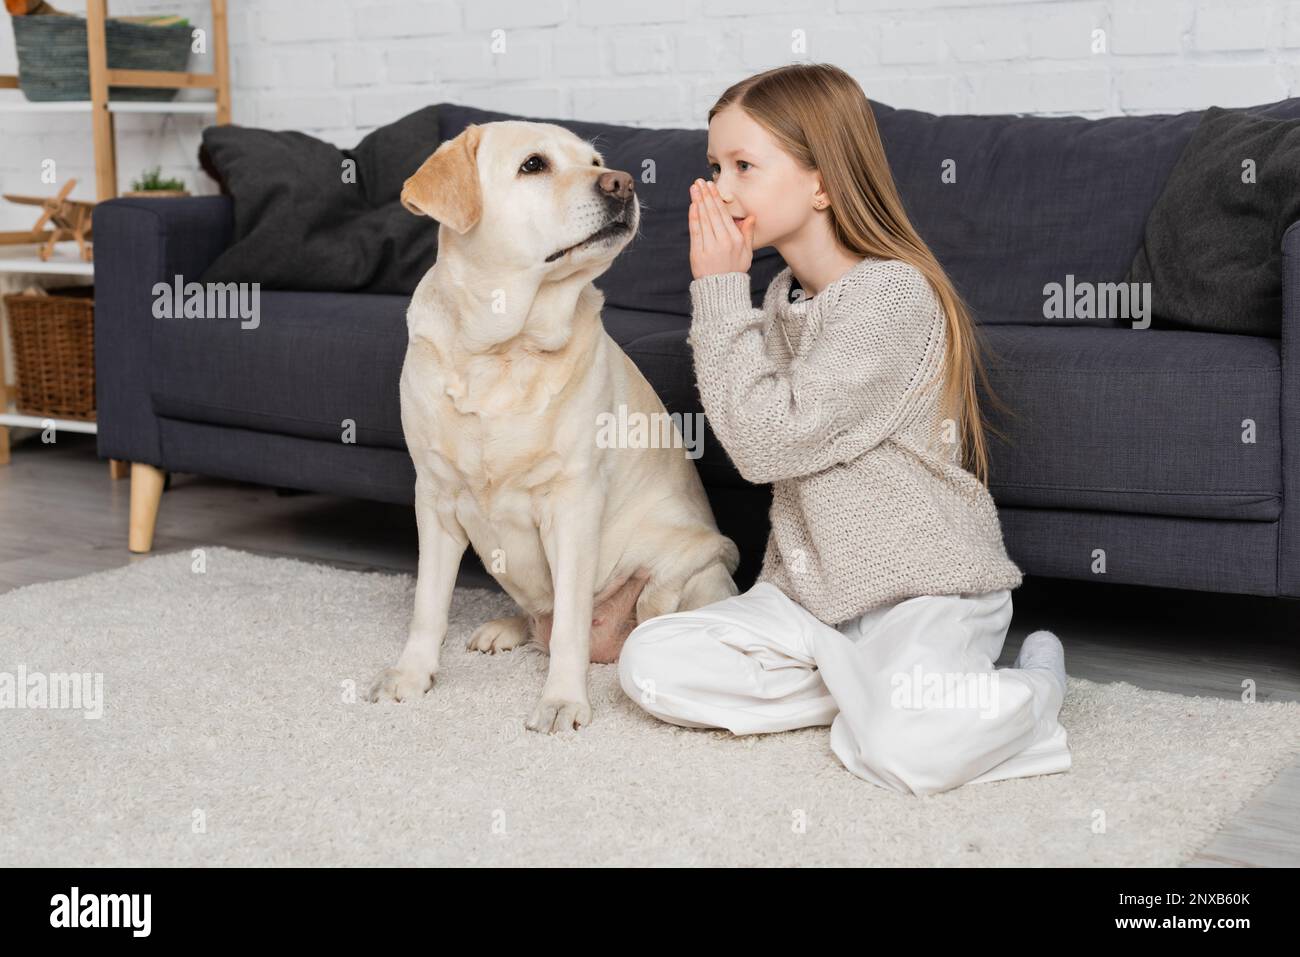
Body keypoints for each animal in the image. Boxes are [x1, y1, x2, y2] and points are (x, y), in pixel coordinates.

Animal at [366, 119, 743, 733]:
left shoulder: (572, 504)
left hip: (691, 568)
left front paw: (563, 699)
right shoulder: (436, 498)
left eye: (594, 162)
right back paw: (505, 628)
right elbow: (428, 605)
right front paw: (412, 674)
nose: (621, 183)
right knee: (536, 614)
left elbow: (568, 622)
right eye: (533, 165)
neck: (501, 350)